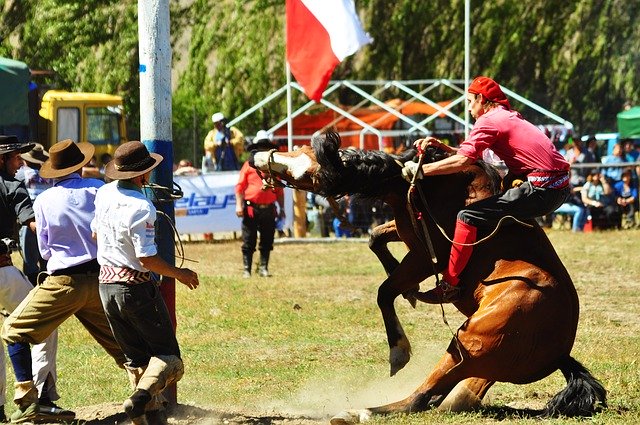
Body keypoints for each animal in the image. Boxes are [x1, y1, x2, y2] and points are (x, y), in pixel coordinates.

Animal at [250, 131, 604, 422]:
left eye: (303, 160)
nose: (256, 155)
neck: (429, 184)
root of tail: (561, 353)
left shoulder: (424, 255)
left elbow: (384, 291)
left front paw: (399, 350)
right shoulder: (407, 233)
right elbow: (375, 239)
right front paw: (408, 290)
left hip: (469, 342)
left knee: (420, 398)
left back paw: (360, 411)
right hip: (482, 360)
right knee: (446, 395)